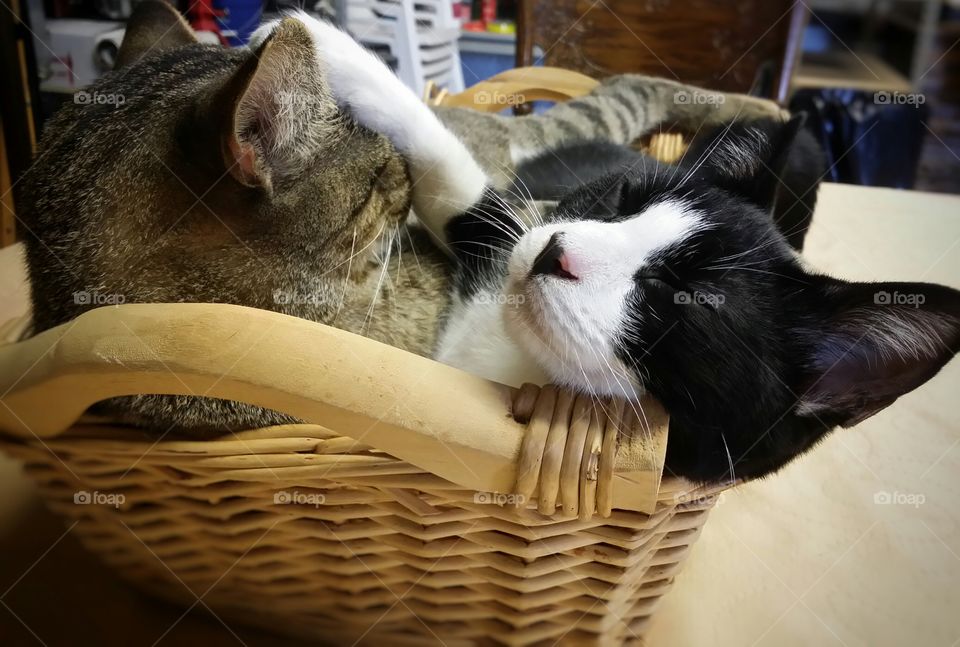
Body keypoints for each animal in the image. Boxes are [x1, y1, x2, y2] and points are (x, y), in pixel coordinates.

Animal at [282, 13, 960, 480]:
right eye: (619, 197)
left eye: (690, 296)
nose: (554, 250)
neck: (524, 363)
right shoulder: (504, 232)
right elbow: (463, 192)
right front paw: (327, 49)